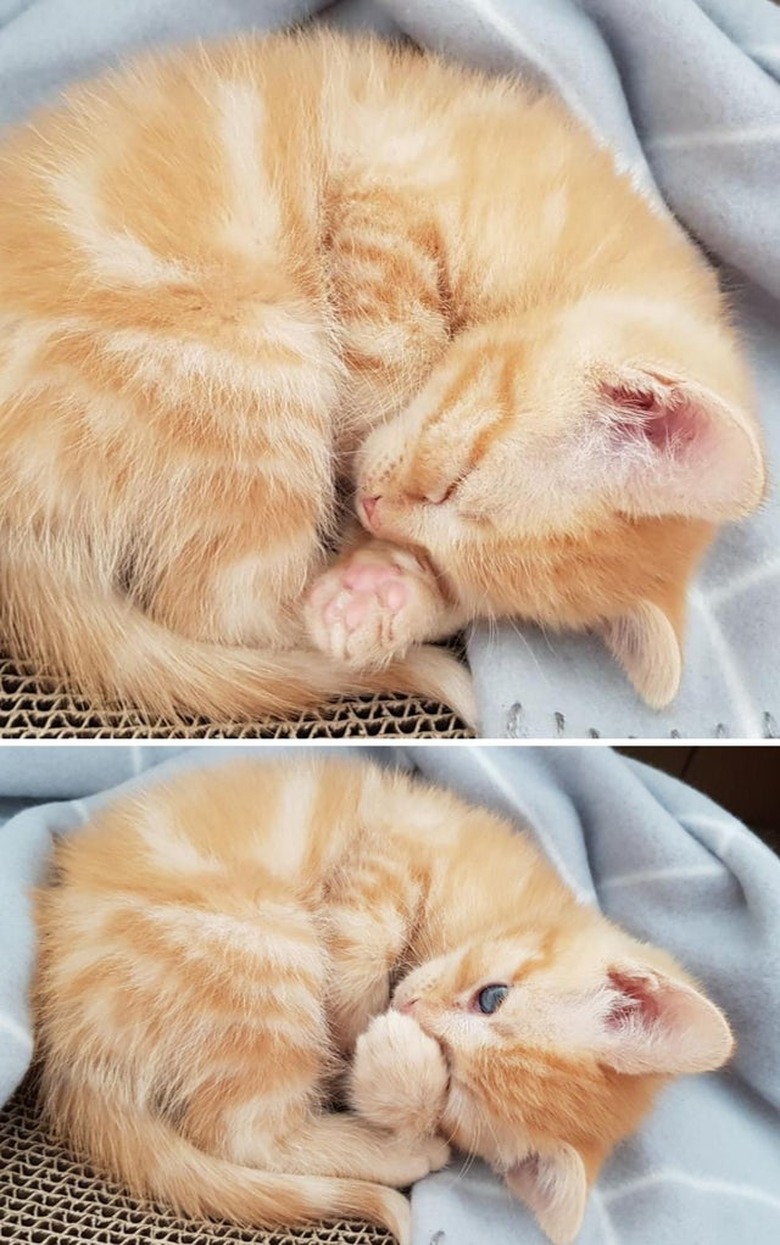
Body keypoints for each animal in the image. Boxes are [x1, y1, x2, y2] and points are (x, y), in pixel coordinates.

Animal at [0, 29, 771, 722]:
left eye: (451, 568)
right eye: (455, 481)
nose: (371, 510)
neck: (570, 254)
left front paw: (398, 586)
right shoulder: (386, 189)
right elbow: (395, 354)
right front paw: (362, 475)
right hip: (258, 354)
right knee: (218, 608)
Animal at [33, 756, 736, 1245]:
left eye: (455, 1086)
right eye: (493, 997)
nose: (408, 1012)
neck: (510, 901)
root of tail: (70, 1038)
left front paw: (392, 1068)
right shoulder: (395, 843)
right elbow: (367, 936)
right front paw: (359, 1016)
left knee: (246, 1133)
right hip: (262, 937)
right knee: (243, 1134)